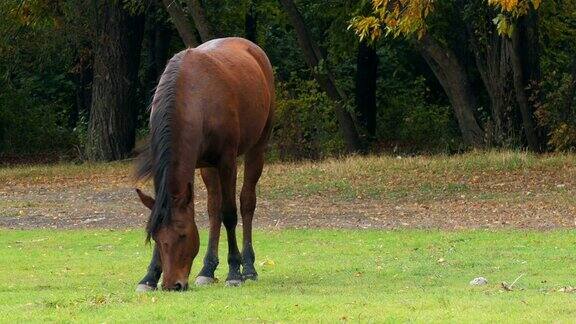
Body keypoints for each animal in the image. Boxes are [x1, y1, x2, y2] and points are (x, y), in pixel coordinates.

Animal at [134, 38, 274, 292]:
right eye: (156, 238)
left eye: (182, 235)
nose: (172, 285)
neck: (193, 97)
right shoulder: (200, 163)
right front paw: (149, 276)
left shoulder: (227, 161)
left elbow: (229, 213)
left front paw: (234, 272)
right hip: (207, 167)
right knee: (213, 209)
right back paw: (207, 269)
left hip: (257, 148)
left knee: (246, 202)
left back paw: (248, 267)